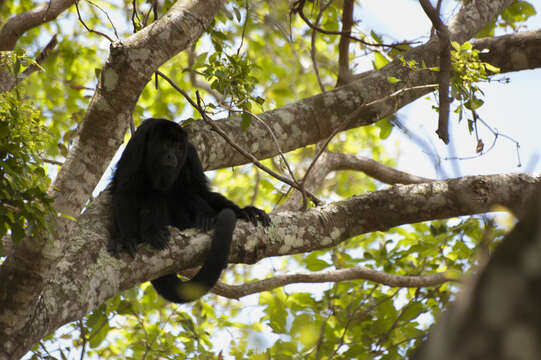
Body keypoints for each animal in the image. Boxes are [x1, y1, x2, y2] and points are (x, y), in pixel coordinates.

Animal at [109, 119, 270, 304]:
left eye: (178, 147)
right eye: (166, 145)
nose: (171, 156)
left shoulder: (190, 154)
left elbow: (201, 191)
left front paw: (245, 211)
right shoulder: (138, 143)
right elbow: (125, 190)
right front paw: (127, 239)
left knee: (184, 192)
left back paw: (206, 217)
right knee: (155, 194)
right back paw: (153, 233)